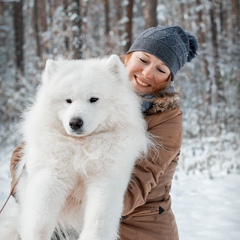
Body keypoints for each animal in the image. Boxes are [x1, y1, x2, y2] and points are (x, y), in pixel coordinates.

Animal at [0, 54, 150, 240]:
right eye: (68, 100)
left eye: (93, 99)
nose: (75, 122)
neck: (81, 147)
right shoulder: (50, 176)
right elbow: (40, 222)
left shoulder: (105, 180)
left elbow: (98, 221)